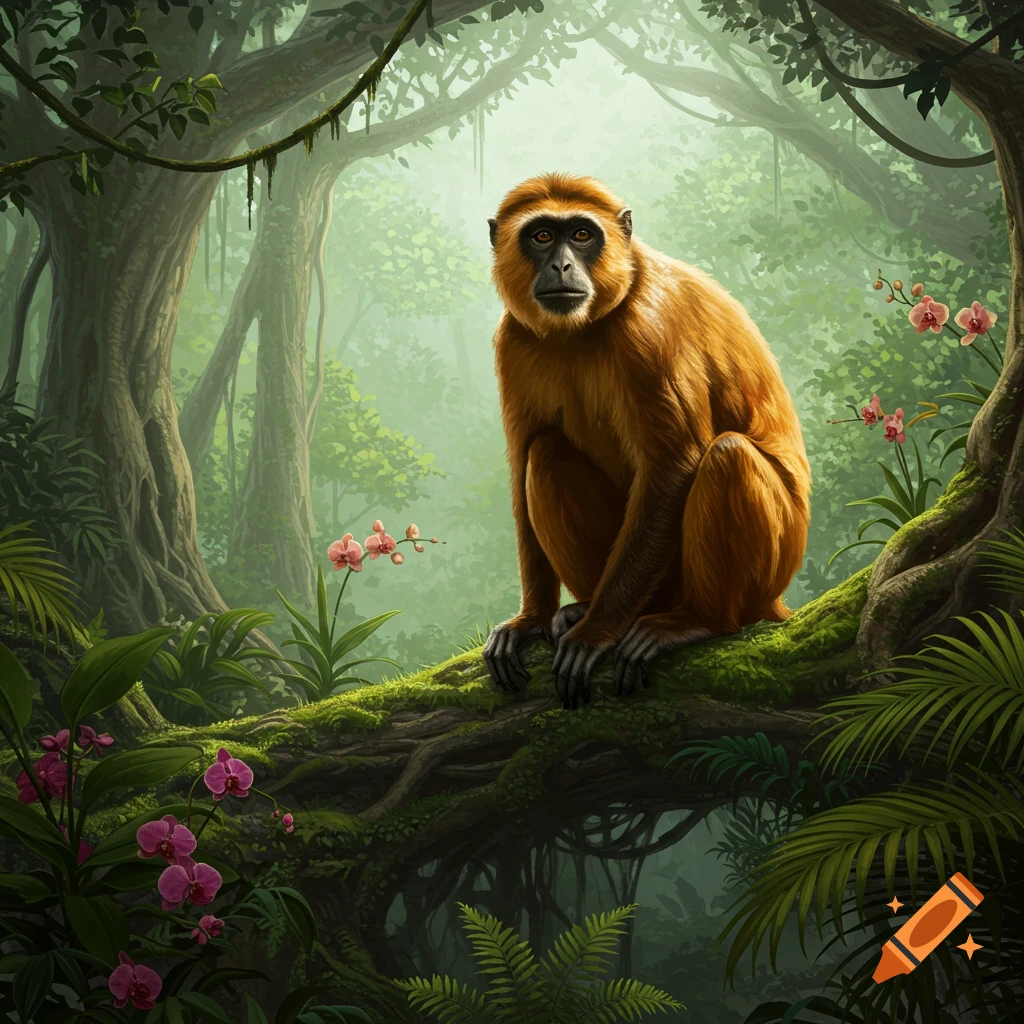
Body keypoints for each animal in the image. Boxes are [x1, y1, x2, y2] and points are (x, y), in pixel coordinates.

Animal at [482, 172, 811, 711]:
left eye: (581, 235)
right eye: (542, 236)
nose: (562, 265)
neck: (584, 328)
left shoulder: (652, 329)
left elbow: (674, 467)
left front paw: (597, 632)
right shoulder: (514, 340)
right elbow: (519, 466)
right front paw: (532, 619)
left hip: (769, 564)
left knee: (727, 456)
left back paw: (700, 621)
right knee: (545, 452)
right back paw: (586, 608)